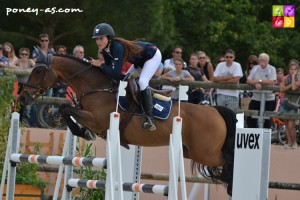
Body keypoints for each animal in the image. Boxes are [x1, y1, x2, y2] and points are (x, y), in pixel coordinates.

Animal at [19, 47, 237, 195]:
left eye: (38, 71)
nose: (22, 97)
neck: (97, 88)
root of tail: (215, 110)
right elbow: (65, 108)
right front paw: (81, 131)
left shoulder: (98, 121)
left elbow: (67, 109)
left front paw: (83, 132)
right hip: (190, 151)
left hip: (206, 153)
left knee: (229, 161)